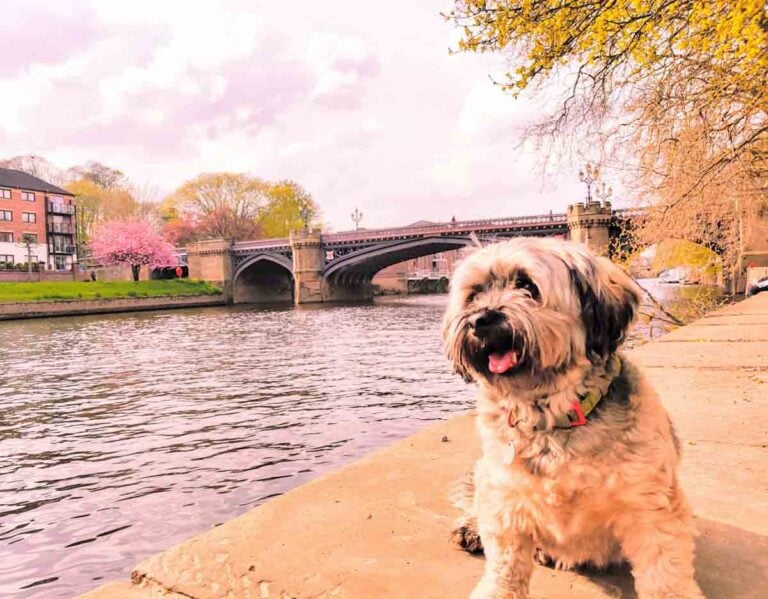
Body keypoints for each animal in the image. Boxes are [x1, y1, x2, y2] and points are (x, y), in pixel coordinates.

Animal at [444, 239, 704, 599]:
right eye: (475, 294)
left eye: (527, 285)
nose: (480, 319)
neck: (552, 419)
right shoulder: (505, 500)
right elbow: (504, 566)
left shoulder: (651, 507)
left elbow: (665, 573)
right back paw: (470, 527)